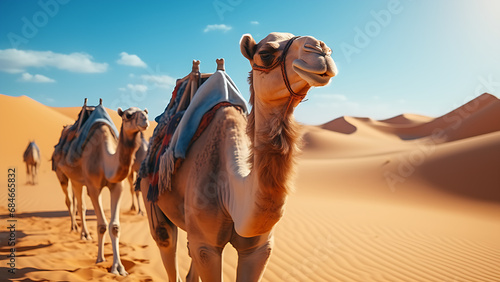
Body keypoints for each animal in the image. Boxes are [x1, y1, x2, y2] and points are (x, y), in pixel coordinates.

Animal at [54, 101, 149, 276]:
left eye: (146, 112)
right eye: (128, 115)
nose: (145, 120)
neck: (104, 160)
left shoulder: (117, 186)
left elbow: (115, 226)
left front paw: (119, 268)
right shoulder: (94, 187)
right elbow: (102, 225)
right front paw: (100, 259)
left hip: (78, 180)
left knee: (79, 203)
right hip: (63, 174)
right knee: (72, 201)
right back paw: (80, 231)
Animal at [139, 32, 338, 280]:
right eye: (265, 54)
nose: (321, 49)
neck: (231, 189)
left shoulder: (260, 248)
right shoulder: (206, 245)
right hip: (151, 193)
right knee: (164, 238)